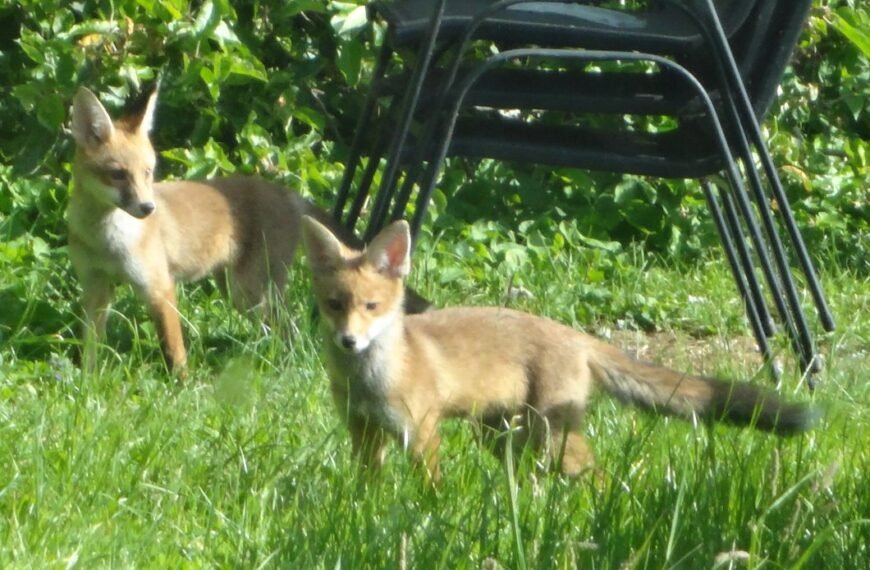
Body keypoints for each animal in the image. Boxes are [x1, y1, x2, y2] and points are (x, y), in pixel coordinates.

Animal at [68, 86, 428, 375]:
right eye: (117, 174)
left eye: (147, 172)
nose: (147, 208)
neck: (104, 242)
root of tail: (284, 192)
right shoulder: (96, 286)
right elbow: (90, 345)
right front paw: (88, 381)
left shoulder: (159, 288)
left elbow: (174, 350)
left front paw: (182, 385)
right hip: (238, 291)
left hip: (249, 291)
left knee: (292, 330)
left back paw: (284, 368)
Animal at [301, 216, 818, 482]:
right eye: (334, 305)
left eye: (371, 307)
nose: (349, 341)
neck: (371, 381)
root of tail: (575, 334)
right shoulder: (363, 431)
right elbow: (366, 488)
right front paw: (364, 511)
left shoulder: (421, 432)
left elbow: (431, 488)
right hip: (505, 436)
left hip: (549, 436)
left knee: (597, 475)